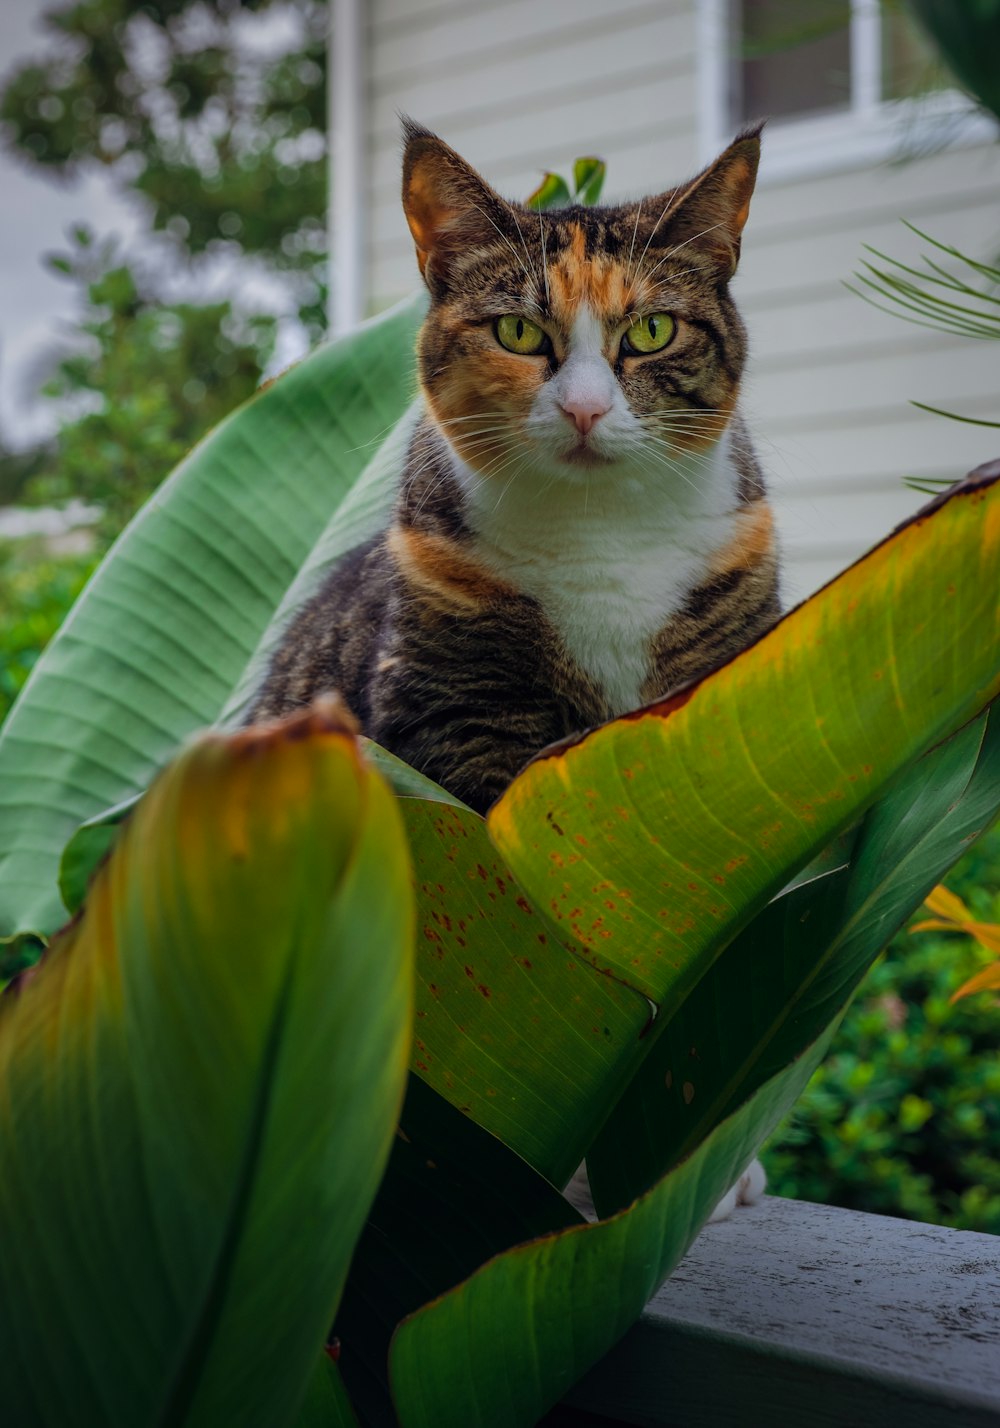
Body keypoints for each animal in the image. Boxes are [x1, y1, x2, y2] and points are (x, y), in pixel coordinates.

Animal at [245, 119, 777, 816]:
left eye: (653, 330)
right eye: (518, 333)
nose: (585, 408)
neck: (598, 532)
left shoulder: (731, 661)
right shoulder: (455, 707)